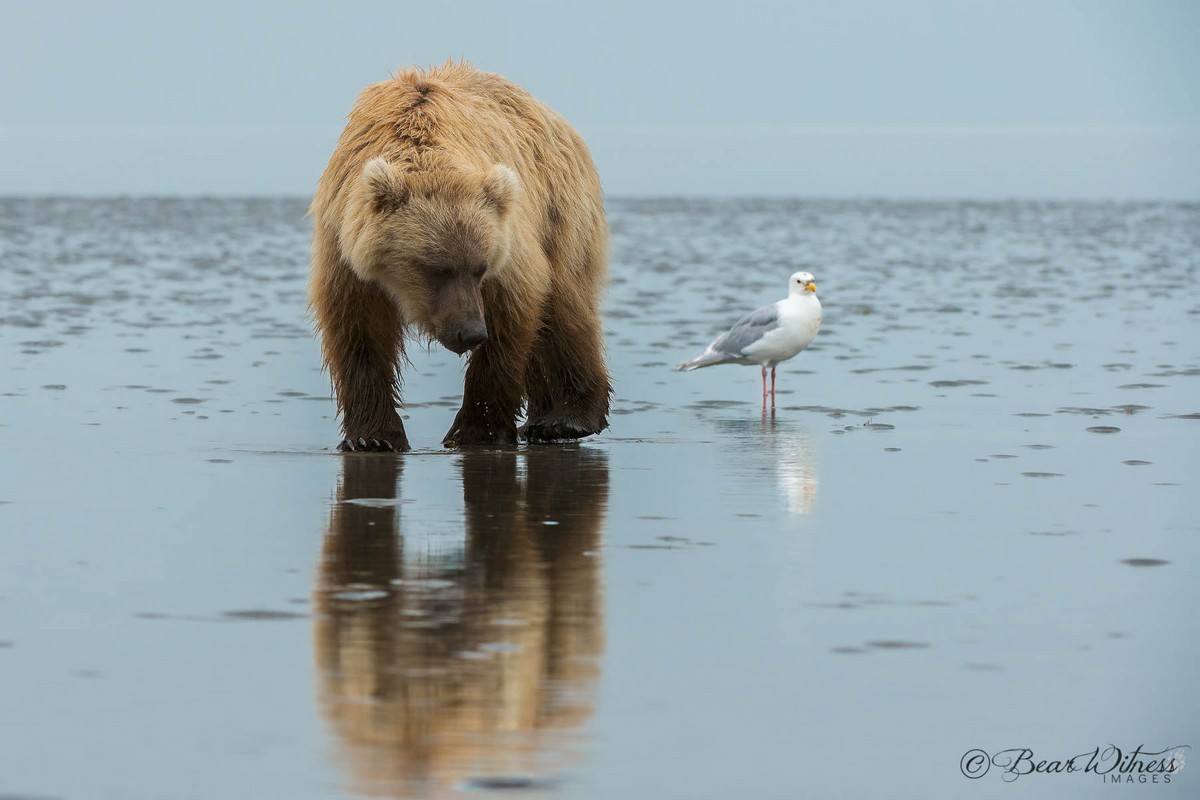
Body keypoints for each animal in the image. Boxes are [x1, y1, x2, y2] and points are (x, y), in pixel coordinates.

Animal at [309, 61, 609, 450]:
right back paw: (542, 419)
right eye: (435, 268)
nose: (470, 333)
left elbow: (511, 313)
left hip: (559, 209)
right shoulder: (343, 245)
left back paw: (566, 420)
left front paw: (475, 431)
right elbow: (359, 330)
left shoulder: (507, 243)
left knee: (565, 306)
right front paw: (372, 437)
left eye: (480, 269)